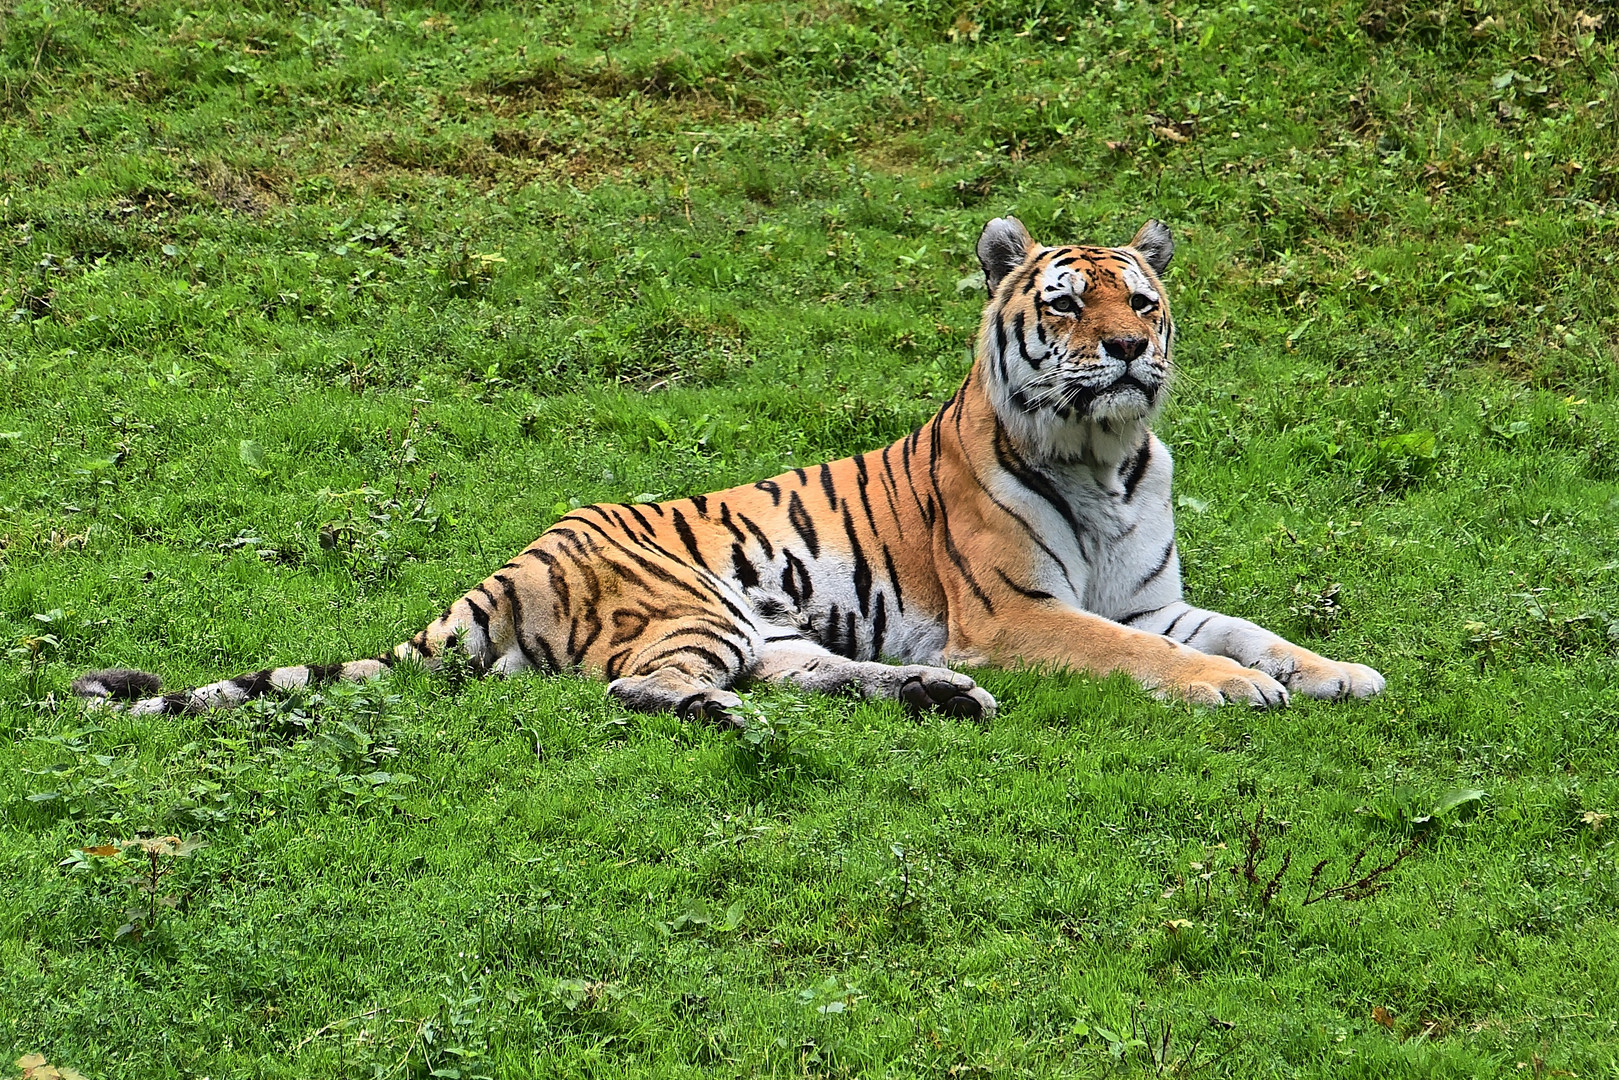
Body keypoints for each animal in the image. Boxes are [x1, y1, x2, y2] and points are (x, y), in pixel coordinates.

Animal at [76, 216, 1385, 725]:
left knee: (805, 675)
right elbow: (1149, 660)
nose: (1121, 351)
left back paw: (933, 697)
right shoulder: (1020, 616)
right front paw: (1233, 692)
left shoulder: (1152, 597)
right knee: (640, 690)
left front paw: (1338, 673)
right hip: (694, 606)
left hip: (773, 625)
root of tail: (503, 570)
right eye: (1064, 304)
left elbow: (1248, 630)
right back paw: (729, 714)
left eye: (1140, 299)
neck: (1109, 461)